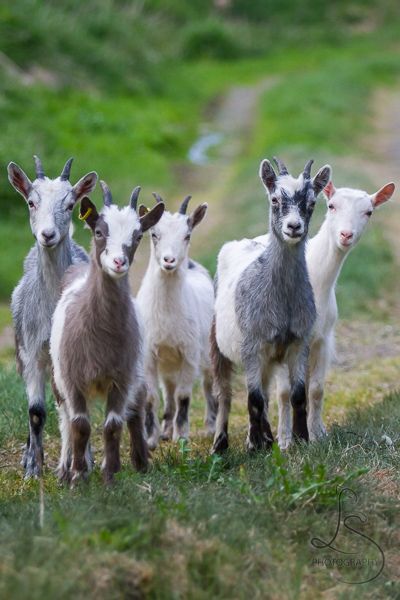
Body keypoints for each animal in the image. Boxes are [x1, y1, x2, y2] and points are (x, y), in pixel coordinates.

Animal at [138, 195, 219, 448]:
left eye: (187, 235)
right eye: (154, 234)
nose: (169, 260)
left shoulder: (189, 353)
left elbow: (184, 396)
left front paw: (181, 436)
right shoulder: (149, 355)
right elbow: (151, 397)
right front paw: (151, 439)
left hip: (206, 351)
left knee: (207, 385)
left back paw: (210, 426)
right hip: (167, 362)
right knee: (168, 391)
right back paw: (165, 429)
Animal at [255, 177, 396, 446]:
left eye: (369, 212)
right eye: (331, 205)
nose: (345, 234)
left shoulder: (323, 338)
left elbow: (316, 388)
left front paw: (317, 435)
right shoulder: (282, 339)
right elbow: (284, 392)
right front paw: (285, 441)